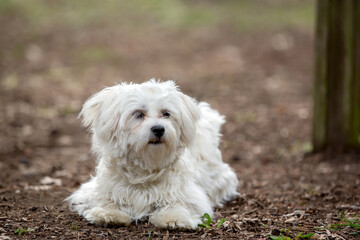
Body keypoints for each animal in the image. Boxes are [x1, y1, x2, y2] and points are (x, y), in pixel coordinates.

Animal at [67, 79, 239, 229]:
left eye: (166, 114)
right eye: (138, 114)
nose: (158, 129)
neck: (145, 168)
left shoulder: (190, 195)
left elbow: (178, 203)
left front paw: (174, 217)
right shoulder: (95, 190)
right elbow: (106, 199)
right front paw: (108, 213)